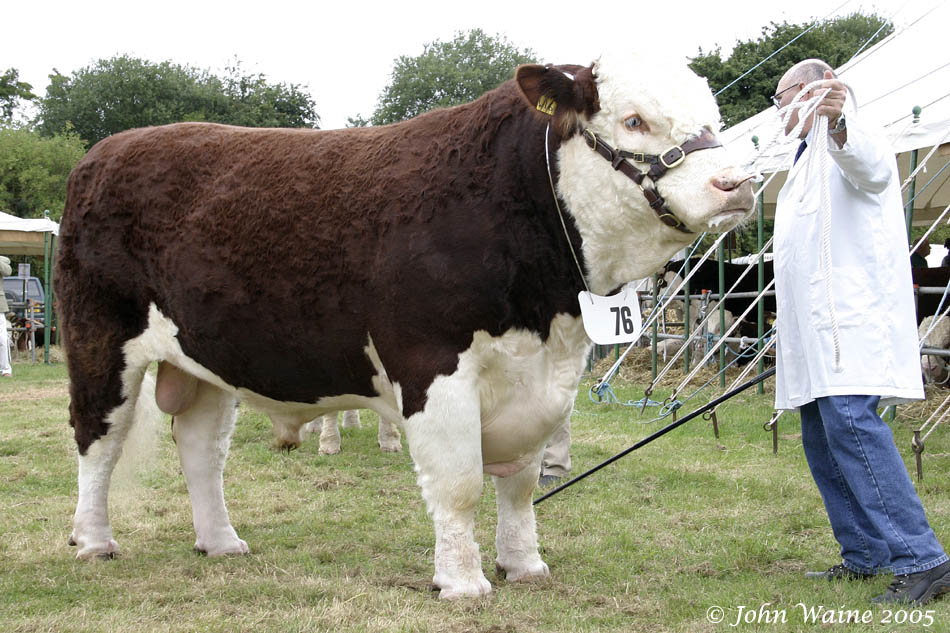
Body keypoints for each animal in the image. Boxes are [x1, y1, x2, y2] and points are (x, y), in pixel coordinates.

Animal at [57, 50, 760, 596]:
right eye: (634, 119)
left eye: (712, 116)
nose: (737, 183)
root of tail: (108, 150)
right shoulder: (432, 366)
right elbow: (460, 485)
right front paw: (464, 582)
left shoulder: (545, 381)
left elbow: (520, 486)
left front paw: (524, 566)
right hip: (100, 342)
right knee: (98, 440)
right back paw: (93, 541)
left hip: (205, 357)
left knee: (202, 448)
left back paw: (222, 541)